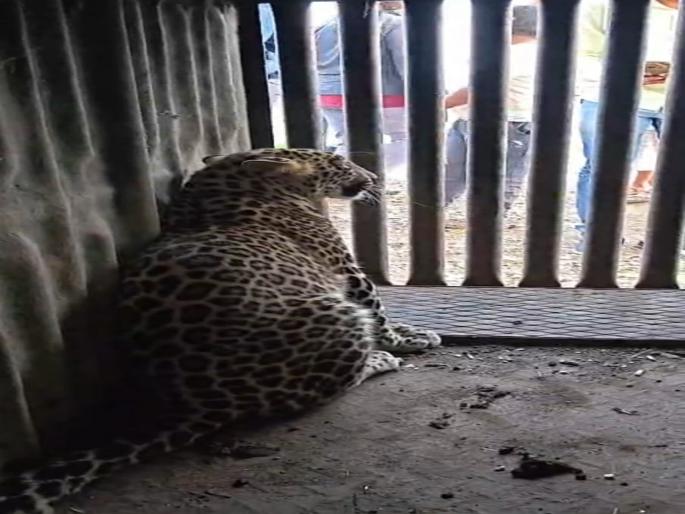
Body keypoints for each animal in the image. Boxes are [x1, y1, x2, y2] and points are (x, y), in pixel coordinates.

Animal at [0, 148, 440, 514]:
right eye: (339, 163)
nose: (373, 175)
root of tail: (198, 404)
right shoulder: (349, 274)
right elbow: (377, 312)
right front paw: (409, 339)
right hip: (339, 314)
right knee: (337, 382)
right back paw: (380, 359)